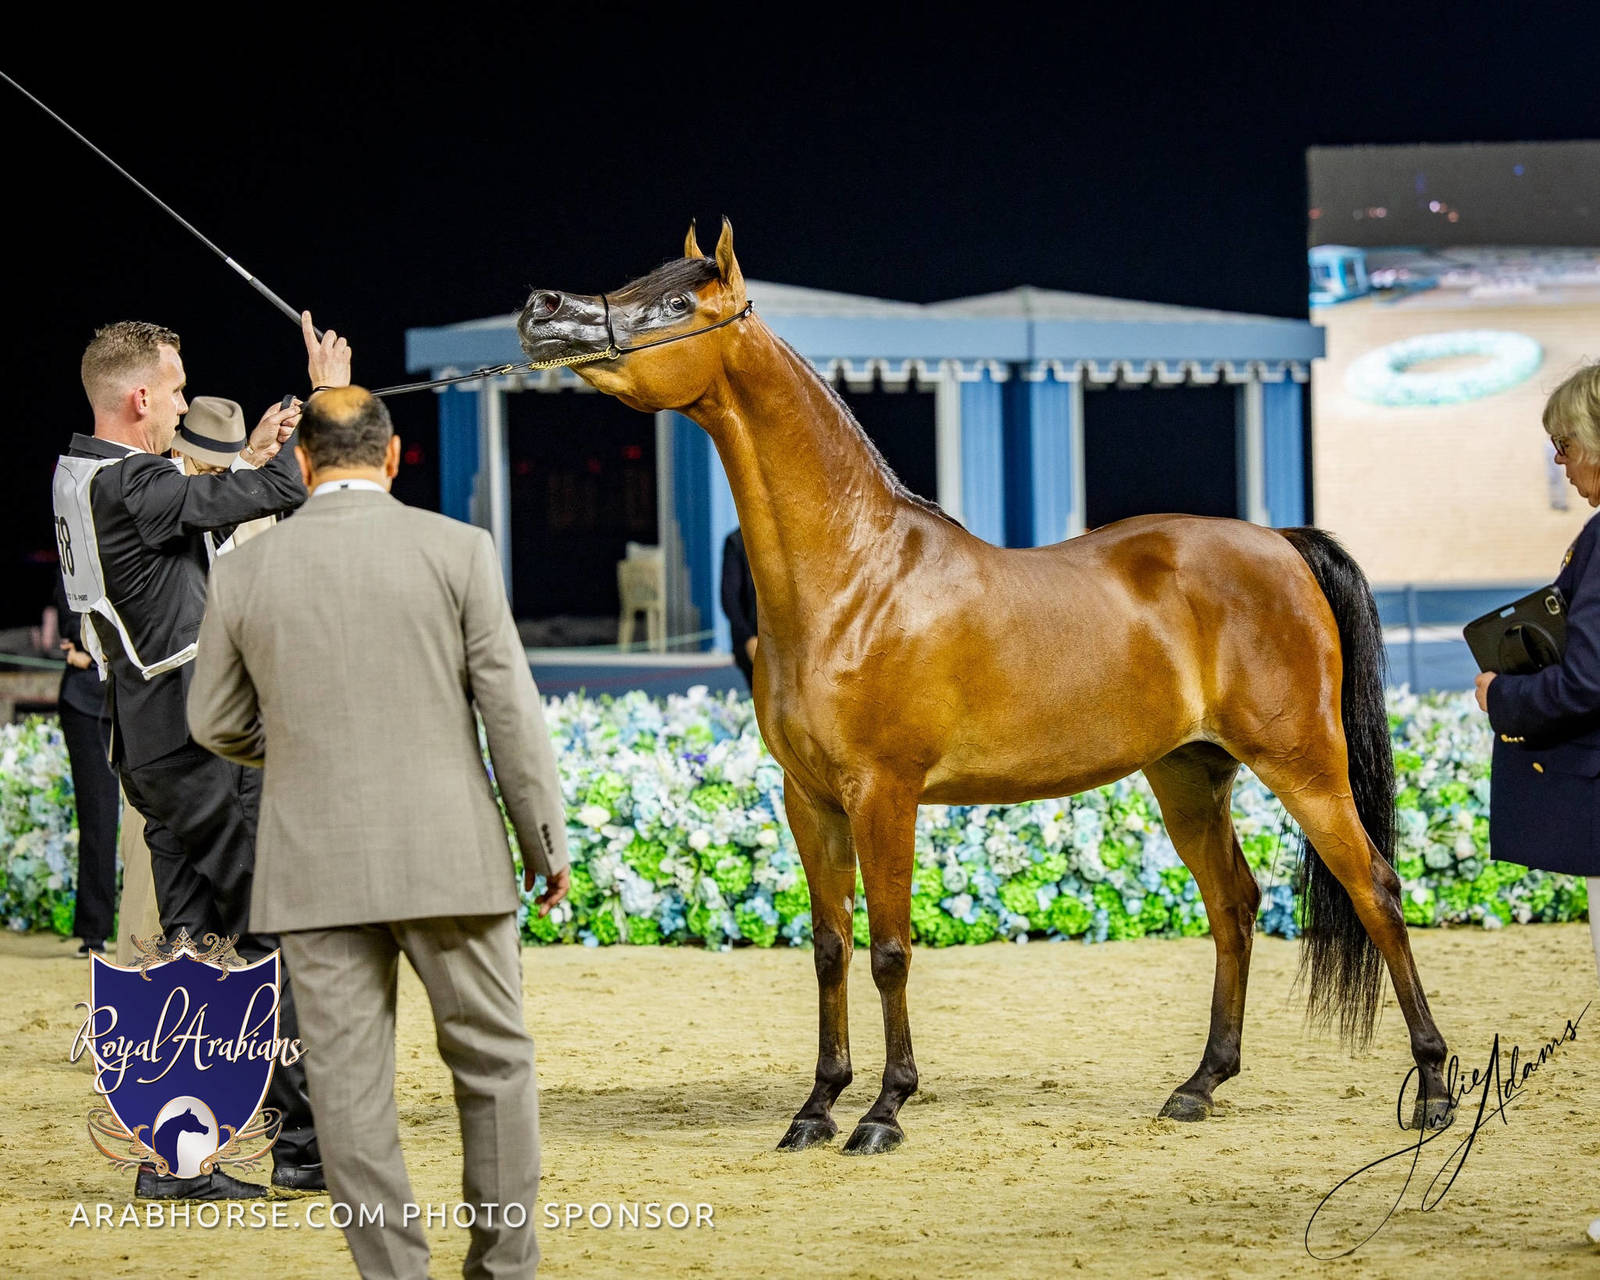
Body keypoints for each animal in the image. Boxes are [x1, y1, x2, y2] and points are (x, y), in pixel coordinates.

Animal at [516, 220, 1456, 1155]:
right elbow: (830, 946)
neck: (858, 576)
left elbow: (891, 949)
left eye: (679, 302)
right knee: (1235, 904)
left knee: (1376, 891)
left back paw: (1436, 1090)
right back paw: (1199, 1085)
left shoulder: (883, 794)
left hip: (1304, 766)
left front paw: (884, 1111)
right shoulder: (809, 799)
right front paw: (816, 1108)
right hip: (1190, 775)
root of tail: (1281, 543)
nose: (543, 307)